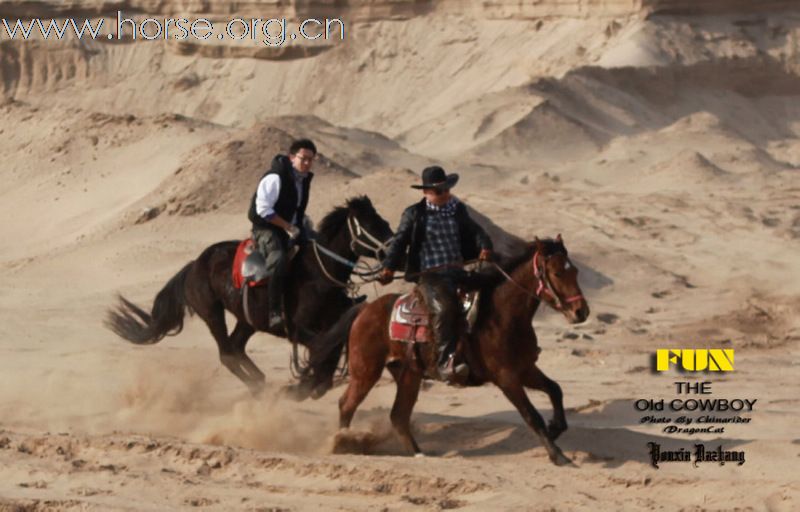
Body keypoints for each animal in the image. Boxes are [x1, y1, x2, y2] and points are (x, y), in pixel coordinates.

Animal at [104, 196, 392, 396]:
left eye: (385, 222)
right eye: (370, 225)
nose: (392, 253)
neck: (320, 273)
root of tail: (194, 265)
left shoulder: (332, 326)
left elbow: (328, 357)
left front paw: (308, 385)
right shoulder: (301, 331)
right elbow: (321, 354)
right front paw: (301, 386)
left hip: (248, 320)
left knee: (236, 346)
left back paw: (261, 382)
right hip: (212, 313)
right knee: (227, 353)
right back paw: (259, 386)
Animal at [310, 235, 592, 464]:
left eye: (575, 271)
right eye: (556, 273)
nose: (581, 312)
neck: (501, 314)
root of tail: (365, 309)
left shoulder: (525, 369)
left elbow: (555, 389)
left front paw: (556, 428)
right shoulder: (507, 378)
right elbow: (532, 416)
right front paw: (558, 456)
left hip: (409, 374)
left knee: (398, 415)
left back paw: (418, 453)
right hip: (365, 371)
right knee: (347, 404)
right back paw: (344, 442)